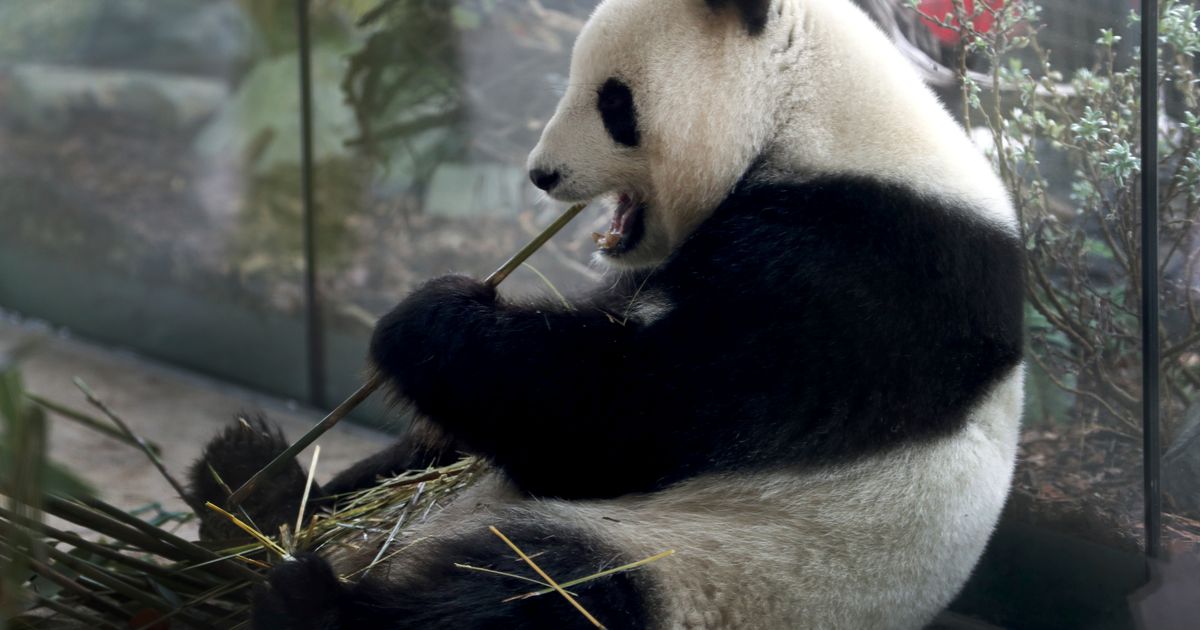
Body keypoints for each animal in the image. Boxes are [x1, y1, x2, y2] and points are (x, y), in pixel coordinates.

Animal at [187, 0, 1022, 624]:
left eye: (613, 100)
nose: (542, 174)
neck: (815, 110)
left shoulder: (857, 276)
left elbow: (631, 416)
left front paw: (424, 315)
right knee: (414, 467)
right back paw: (248, 484)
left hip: (696, 567)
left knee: (536, 593)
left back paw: (306, 597)